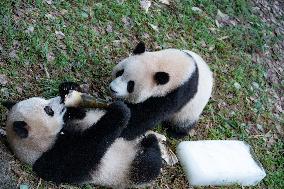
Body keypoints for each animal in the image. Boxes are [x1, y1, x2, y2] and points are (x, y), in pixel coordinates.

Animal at [2, 83, 162, 189]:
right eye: (48, 110)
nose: (61, 100)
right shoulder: (52, 160)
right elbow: (87, 150)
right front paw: (118, 112)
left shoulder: (73, 121)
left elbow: (80, 114)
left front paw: (68, 88)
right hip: (126, 169)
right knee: (147, 166)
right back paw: (151, 142)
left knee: (133, 126)